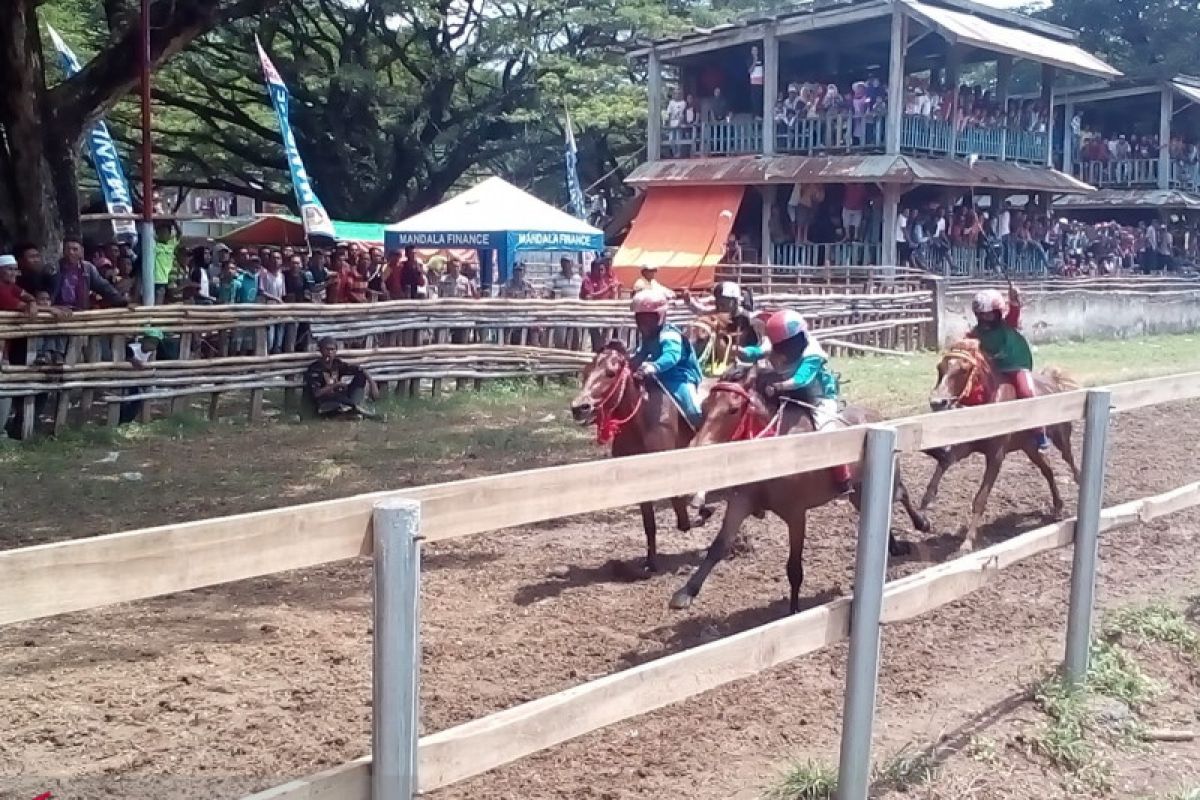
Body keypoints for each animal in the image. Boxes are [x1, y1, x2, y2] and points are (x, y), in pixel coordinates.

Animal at [571, 340, 710, 573]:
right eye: (585, 371)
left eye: (610, 373)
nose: (579, 408)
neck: (641, 421)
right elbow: (650, 523)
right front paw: (650, 563)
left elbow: (679, 508)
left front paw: (699, 515)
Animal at [672, 367, 931, 618]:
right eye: (704, 407)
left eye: (733, 409)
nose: (695, 450)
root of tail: (874, 416)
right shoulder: (741, 501)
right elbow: (719, 546)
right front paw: (686, 592)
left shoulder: (796, 514)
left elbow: (794, 567)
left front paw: (794, 609)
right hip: (858, 493)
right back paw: (894, 544)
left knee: (901, 494)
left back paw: (921, 523)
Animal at [921, 335, 1084, 551]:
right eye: (940, 368)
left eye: (963, 369)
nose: (938, 402)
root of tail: (1054, 383)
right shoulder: (965, 448)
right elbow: (943, 464)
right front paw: (923, 510)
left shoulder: (996, 456)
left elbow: (980, 498)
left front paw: (967, 541)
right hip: (1030, 448)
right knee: (1048, 470)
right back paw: (1057, 508)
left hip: (1061, 439)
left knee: (1071, 463)